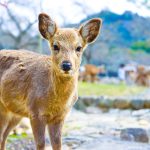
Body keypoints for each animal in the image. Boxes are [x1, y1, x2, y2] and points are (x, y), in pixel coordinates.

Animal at [0, 13, 102, 150]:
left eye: (79, 47)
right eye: (55, 46)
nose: (66, 65)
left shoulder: (60, 116)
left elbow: (58, 144)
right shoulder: (35, 112)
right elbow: (40, 144)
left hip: (15, 112)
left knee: (4, 136)